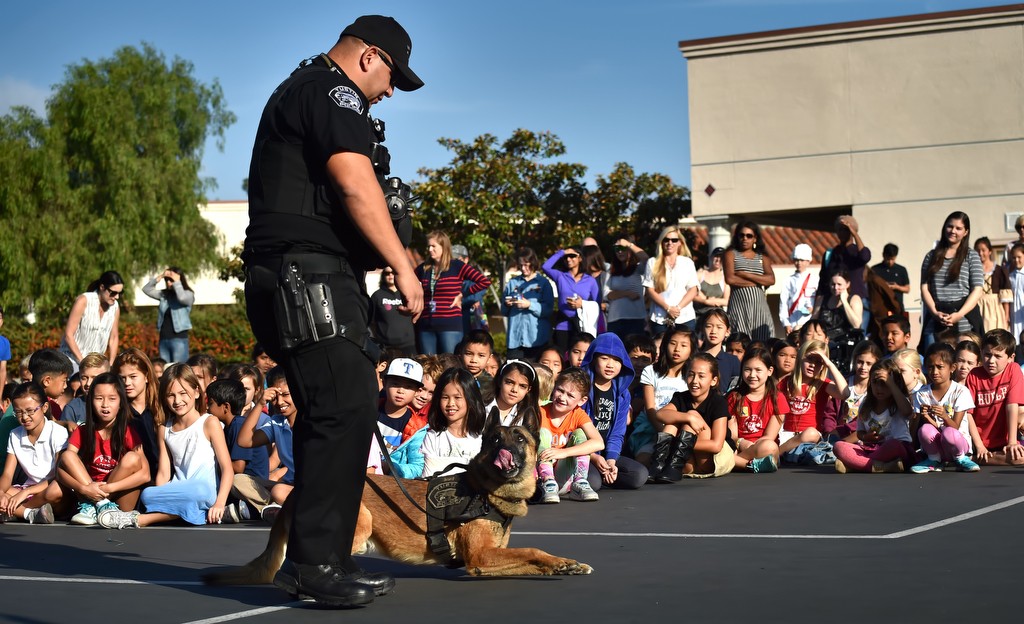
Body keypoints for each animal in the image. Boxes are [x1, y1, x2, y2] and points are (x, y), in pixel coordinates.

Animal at [202, 411, 593, 581]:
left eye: (519, 439)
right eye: (495, 438)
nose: (502, 448)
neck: (485, 488)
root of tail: (298, 492)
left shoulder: (483, 562)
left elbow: (529, 559)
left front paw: (563, 565)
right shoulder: (481, 555)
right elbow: (532, 550)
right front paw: (559, 562)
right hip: (361, 520)